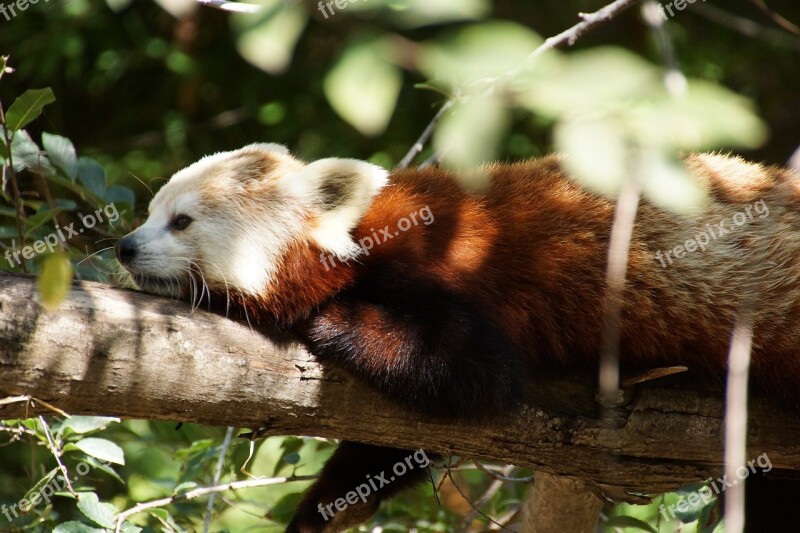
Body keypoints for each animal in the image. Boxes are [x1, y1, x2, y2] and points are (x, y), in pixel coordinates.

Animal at [114, 144, 800, 532]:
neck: (359, 237)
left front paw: (328, 318)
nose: (124, 247)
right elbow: (391, 447)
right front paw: (328, 508)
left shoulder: (450, 271)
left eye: (181, 221)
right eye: (152, 213)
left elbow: (473, 379)